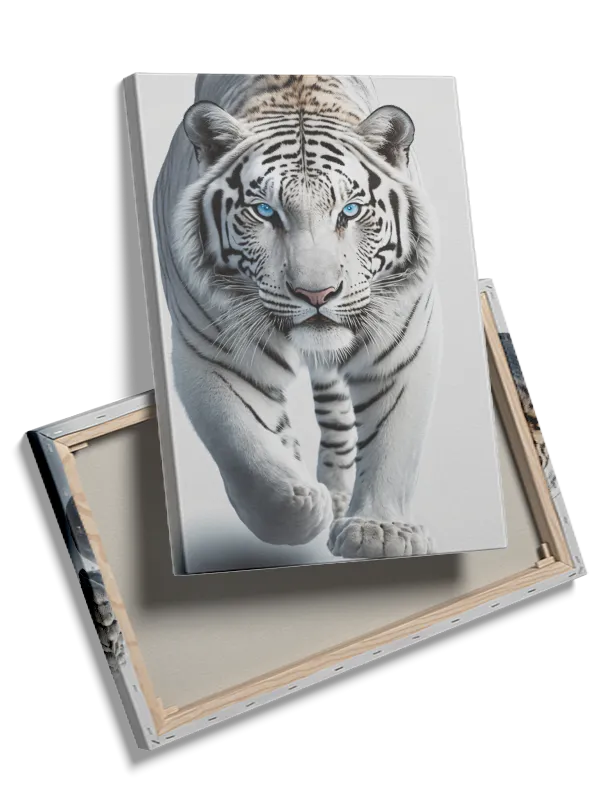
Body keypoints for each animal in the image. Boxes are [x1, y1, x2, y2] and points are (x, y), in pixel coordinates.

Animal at [153, 73, 442, 560]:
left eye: (350, 211)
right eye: (265, 211)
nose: (316, 293)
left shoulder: (399, 349)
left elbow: (391, 445)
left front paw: (379, 532)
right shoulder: (214, 355)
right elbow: (243, 445)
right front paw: (302, 507)